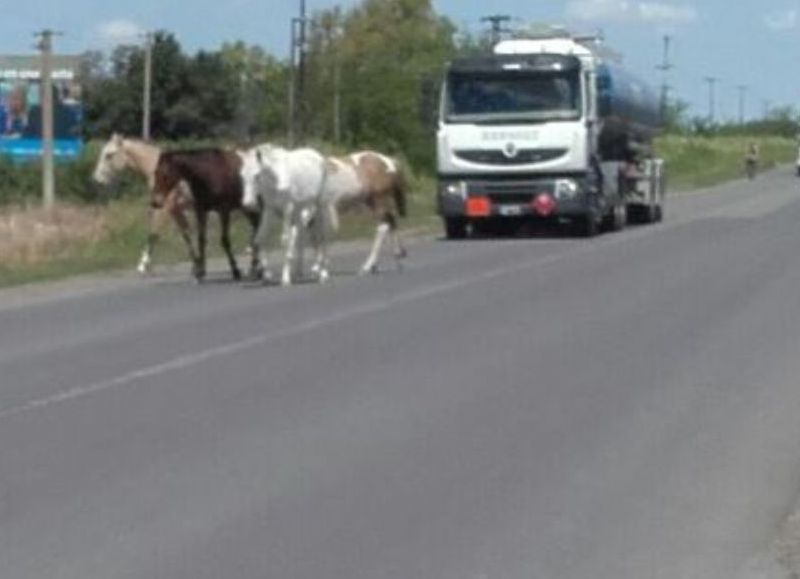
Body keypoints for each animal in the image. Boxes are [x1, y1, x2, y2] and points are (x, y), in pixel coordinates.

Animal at [92, 135, 194, 276]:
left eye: (109, 155)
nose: (97, 180)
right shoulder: (176, 210)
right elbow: (186, 234)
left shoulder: (164, 208)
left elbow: (153, 234)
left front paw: (143, 265)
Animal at [152, 148, 260, 282]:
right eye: (155, 172)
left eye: (165, 174)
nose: (155, 202)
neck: (207, 174)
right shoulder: (201, 210)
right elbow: (201, 239)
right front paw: (200, 272)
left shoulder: (223, 210)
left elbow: (225, 240)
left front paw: (235, 271)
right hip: (247, 208)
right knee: (255, 228)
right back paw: (255, 267)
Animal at [239, 144, 330, 286]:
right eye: (242, 175)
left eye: (256, 175)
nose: (247, 203)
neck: (276, 180)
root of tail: (317, 155)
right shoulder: (269, 210)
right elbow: (260, 238)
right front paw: (267, 275)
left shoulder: (287, 209)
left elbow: (285, 240)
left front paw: (285, 278)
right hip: (299, 211)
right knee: (301, 238)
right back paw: (300, 273)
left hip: (319, 205)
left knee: (321, 236)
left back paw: (323, 274)